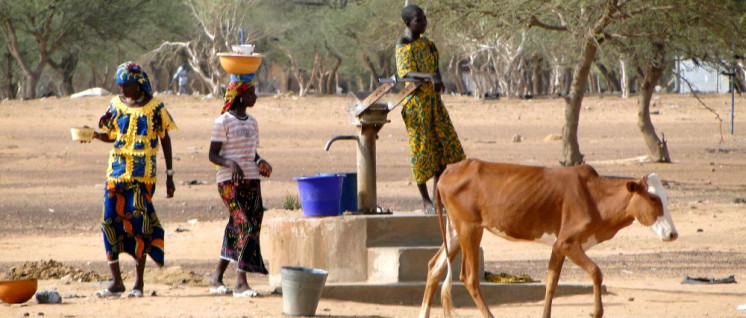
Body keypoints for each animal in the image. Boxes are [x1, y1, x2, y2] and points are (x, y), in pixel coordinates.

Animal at [418, 160, 676, 318]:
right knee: (469, 277)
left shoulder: (557, 245)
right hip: (470, 229)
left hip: (454, 232)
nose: (672, 234)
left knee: (434, 267)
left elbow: (551, 282)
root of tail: (449, 170)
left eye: (665, 197)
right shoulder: (568, 242)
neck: (595, 197)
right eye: (652, 198)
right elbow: (596, 272)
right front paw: (596, 311)